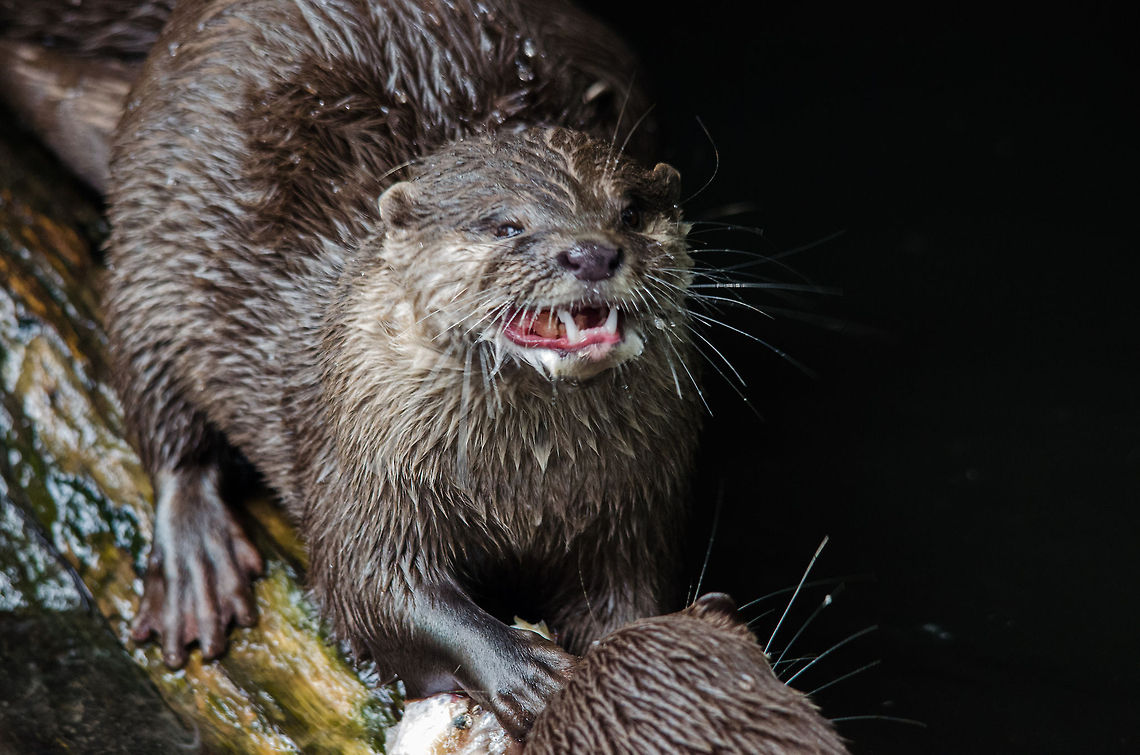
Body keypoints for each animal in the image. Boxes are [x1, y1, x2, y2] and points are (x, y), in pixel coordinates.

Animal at [104, 0, 700, 737]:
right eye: (506, 225)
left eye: (632, 211)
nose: (592, 250)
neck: (526, 489)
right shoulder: (358, 466)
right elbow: (371, 590)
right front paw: (523, 668)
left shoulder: (640, 502)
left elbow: (631, 599)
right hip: (146, 267)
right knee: (161, 412)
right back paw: (197, 563)